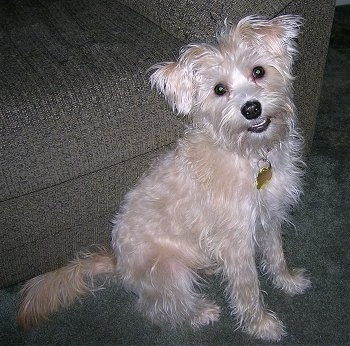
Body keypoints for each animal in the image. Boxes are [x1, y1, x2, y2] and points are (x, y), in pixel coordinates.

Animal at [17, 15, 312, 340]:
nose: (251, 109)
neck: (250, 154)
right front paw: (261, 325)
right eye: (219, 89)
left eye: (258, 71)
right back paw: (200, 313)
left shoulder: (270, 217)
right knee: (162, 307)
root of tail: (117, 262)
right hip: (170, 271)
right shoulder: (237, 241)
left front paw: (288, 281)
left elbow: (276, 255)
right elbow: (249, 288)